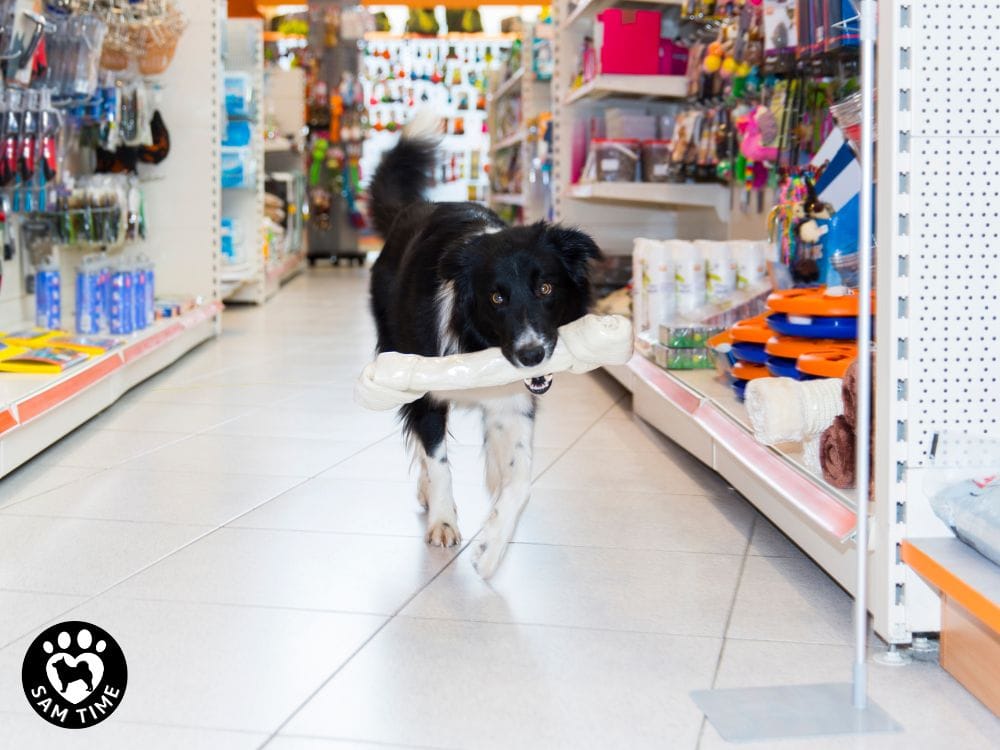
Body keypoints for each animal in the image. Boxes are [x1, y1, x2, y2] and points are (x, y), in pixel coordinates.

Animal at [370, 113, 596, 580]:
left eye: (546, 288)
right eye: (496, 298)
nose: (531, 355)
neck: (479, 341)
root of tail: (409, 210)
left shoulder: (514, 400)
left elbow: (521, 477)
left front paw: (492, 548)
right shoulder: (426, 390)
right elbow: (437, 460)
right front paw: (443, 521)